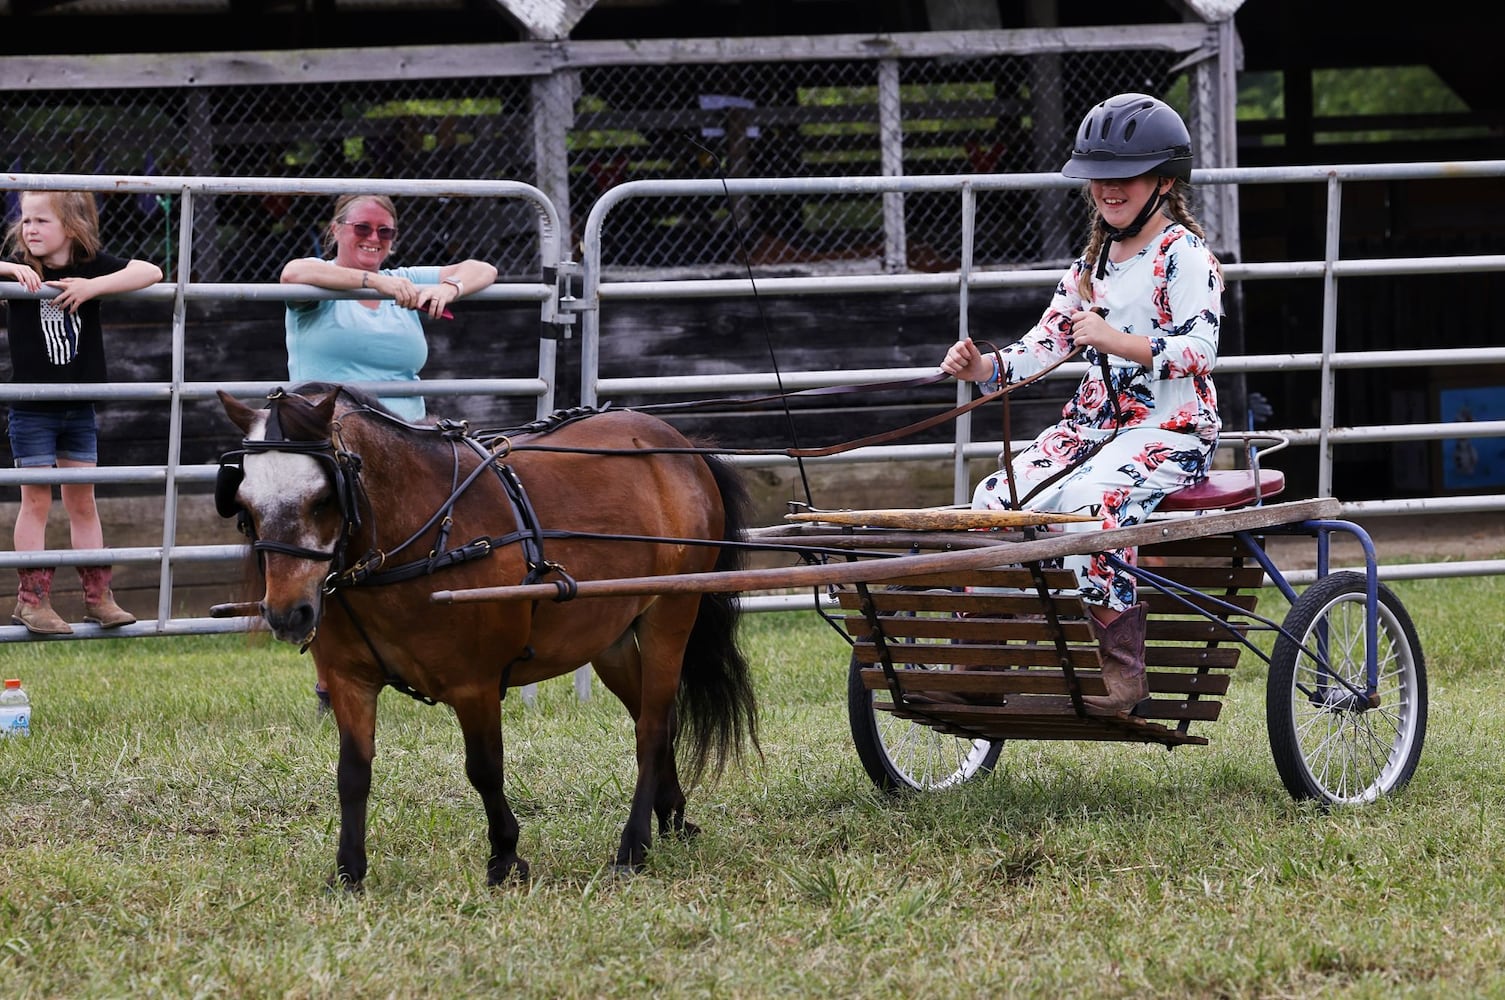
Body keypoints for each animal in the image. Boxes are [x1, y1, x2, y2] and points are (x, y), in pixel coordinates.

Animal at [218, 384, 758, 891]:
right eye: (244, 502)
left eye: (323, 497)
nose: (288, 613)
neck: (416, 535)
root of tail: (679, 444)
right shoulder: (349, 681)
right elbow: (352, 773)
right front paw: (349, 870)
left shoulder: (473, 684)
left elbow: (484, 769)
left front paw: (506, 857)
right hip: (612, 637)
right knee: (655, 718)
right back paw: (672, 816)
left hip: (672, 611)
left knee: (652, 727)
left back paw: (633, 847)